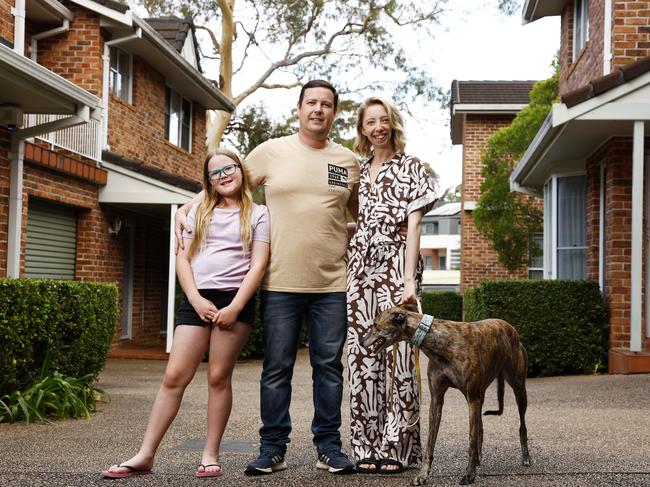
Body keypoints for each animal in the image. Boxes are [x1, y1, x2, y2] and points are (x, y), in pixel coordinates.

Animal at [362, 304, 528, 486]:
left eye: (375, 324)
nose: (361, 342)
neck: (440, 343)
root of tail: (510, 327)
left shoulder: (472, 399)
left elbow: (470, 441)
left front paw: (469, 475)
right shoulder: (437, 399)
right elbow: (430, 443)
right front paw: (422, 475)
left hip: (518, 387)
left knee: (522, 425)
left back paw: (526, 457)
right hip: (482, 392)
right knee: (480, 427)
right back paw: (479, 458)